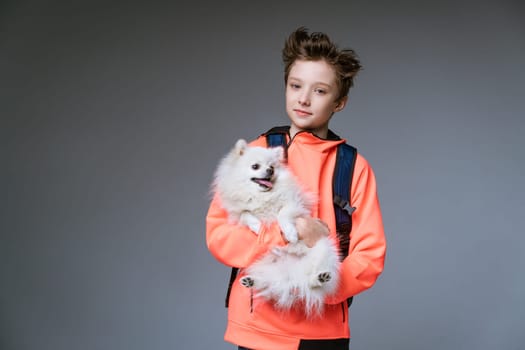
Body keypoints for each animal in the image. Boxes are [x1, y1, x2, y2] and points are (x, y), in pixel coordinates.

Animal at [213, 139, 340, 318]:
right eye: (255, 166)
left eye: (272, 166)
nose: (269, 171)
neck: (263, 195)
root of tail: (291, 275)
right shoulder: (236, 213)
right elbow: (246, 213)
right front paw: (258, 226)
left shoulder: (294, 203)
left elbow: (283, 215)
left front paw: (291, 234)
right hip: (262, 265)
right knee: (269, 282)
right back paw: (252, 281)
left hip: (324, 249)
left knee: (311, 282)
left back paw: (319, 278)